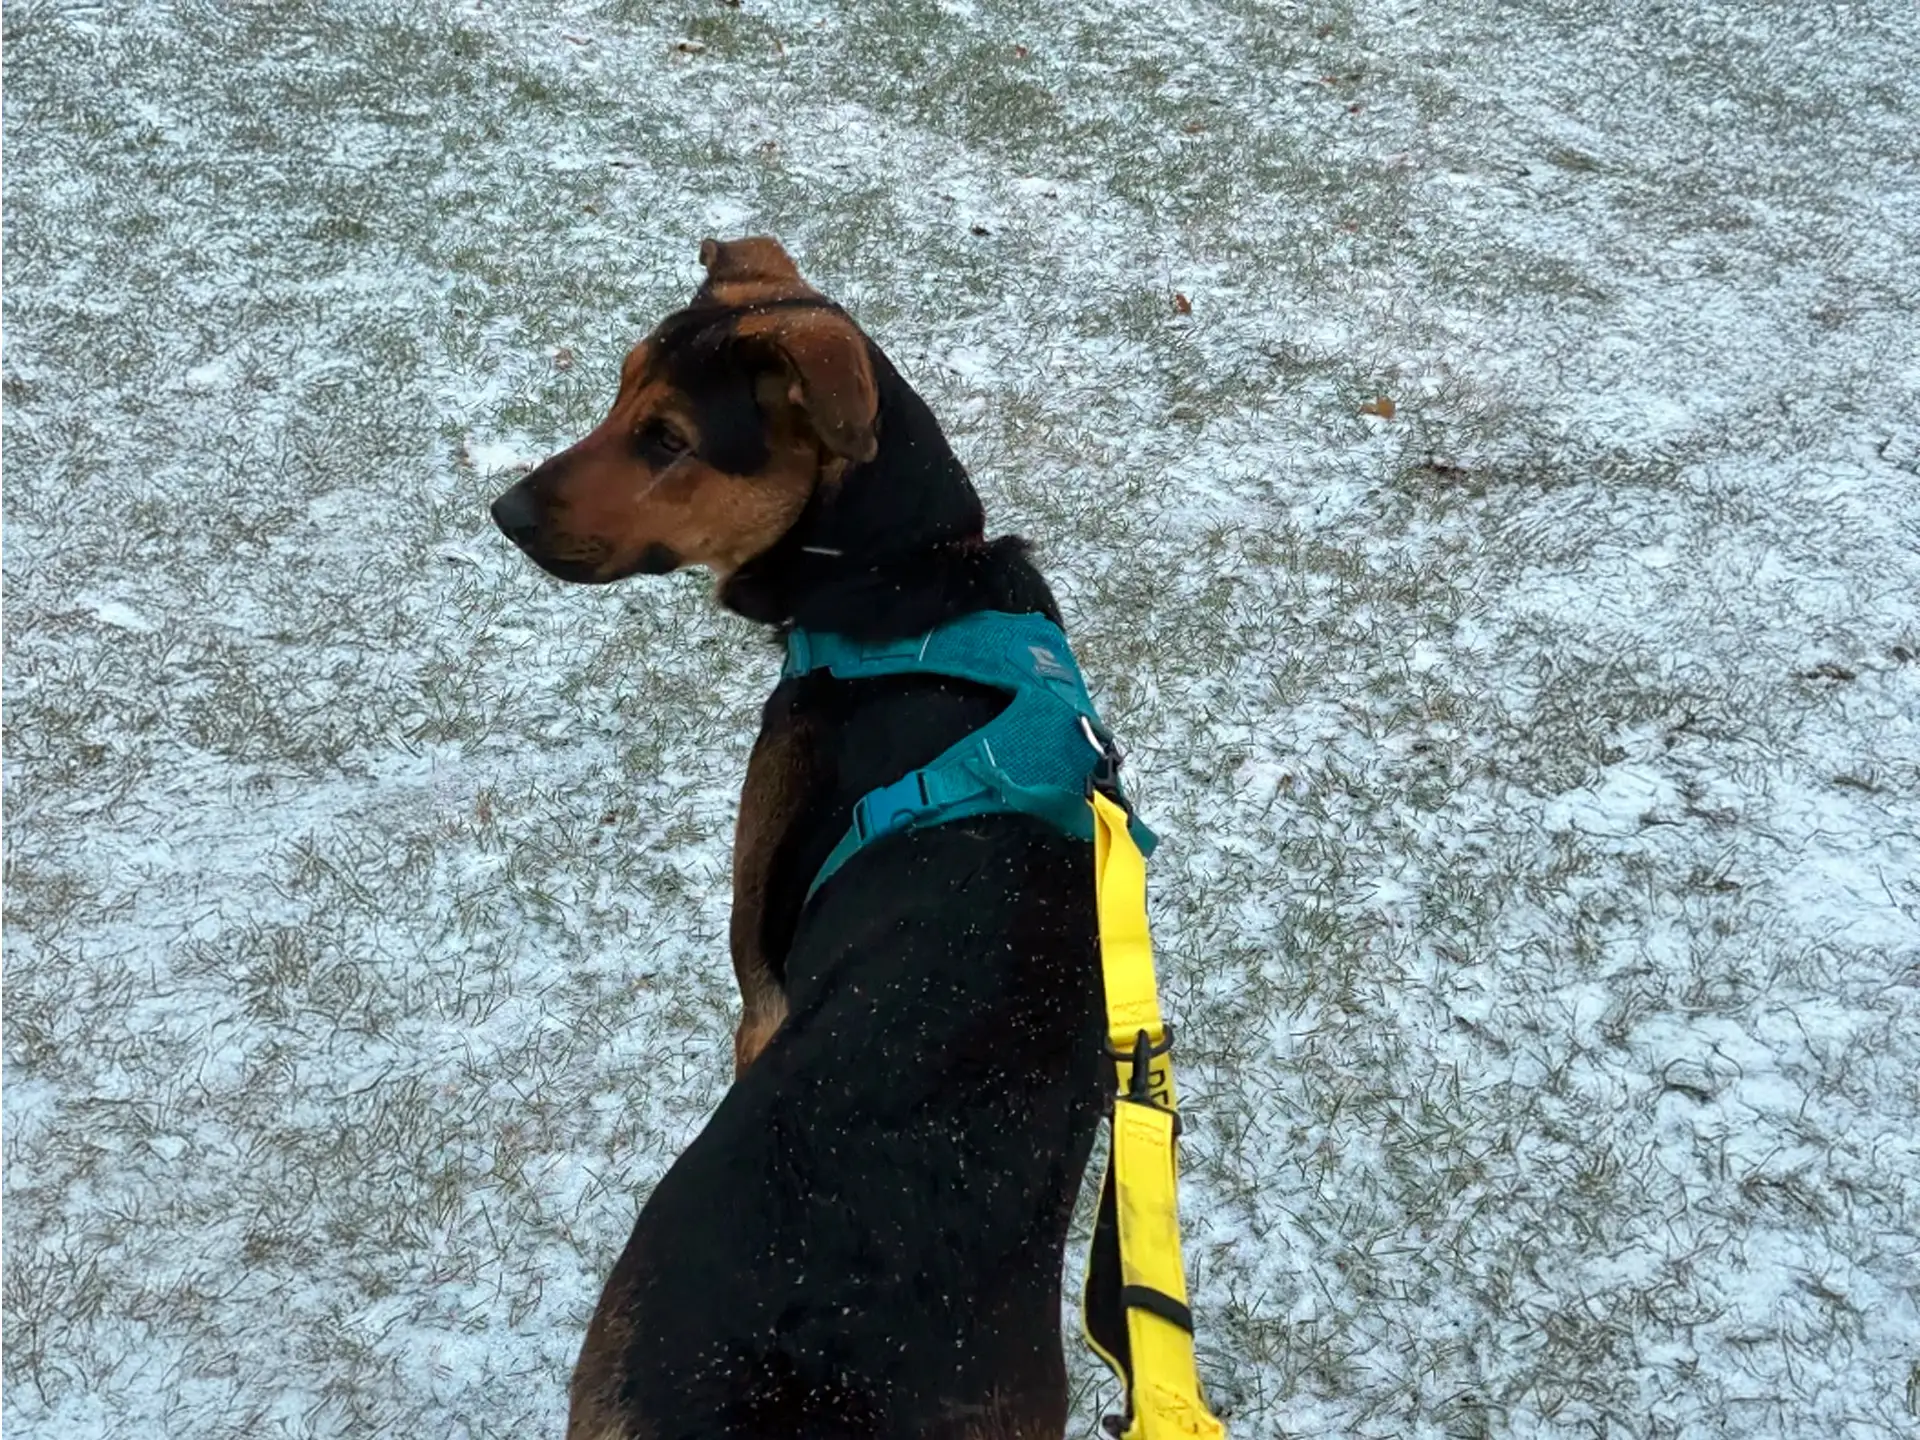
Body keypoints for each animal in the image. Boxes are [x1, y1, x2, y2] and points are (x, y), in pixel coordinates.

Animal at [495, 240, 1121, 1440]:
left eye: (668, 442)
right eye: (619, 390)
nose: (504, 512)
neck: (909, 578)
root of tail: (822, 1356)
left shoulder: (762, 985)